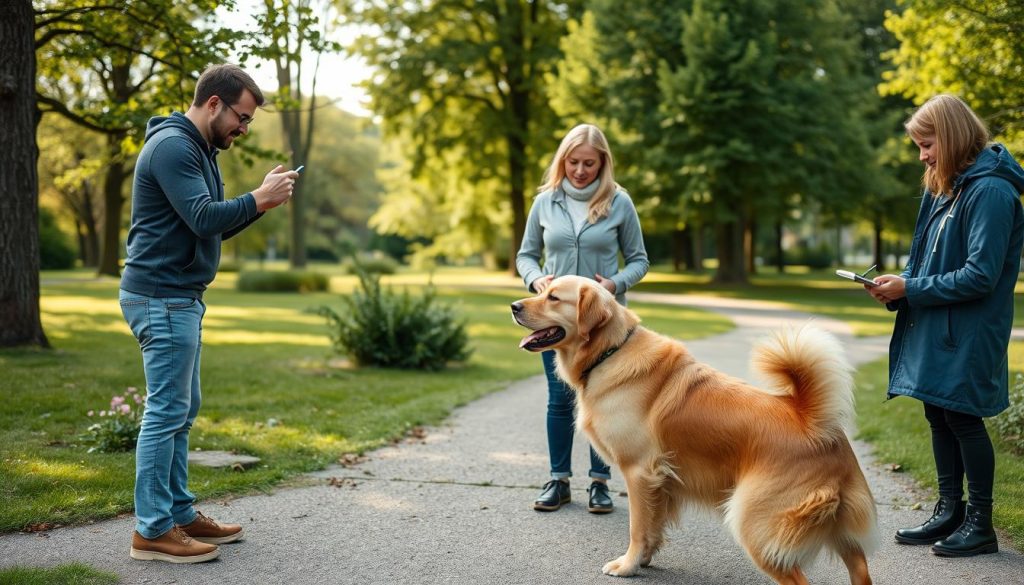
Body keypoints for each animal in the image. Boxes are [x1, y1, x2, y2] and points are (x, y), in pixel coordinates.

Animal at [512, 276, 880, 585]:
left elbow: (636, 527)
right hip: (839, 531)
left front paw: (627, 566)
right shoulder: (660, 481)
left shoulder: (638, 472)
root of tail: (810, 420)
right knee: (860, 569)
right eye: (542, 290)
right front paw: (644, 560)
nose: (513, 306)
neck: (609, 352)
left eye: (554, 297)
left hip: (755, 524)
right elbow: (653, 527)